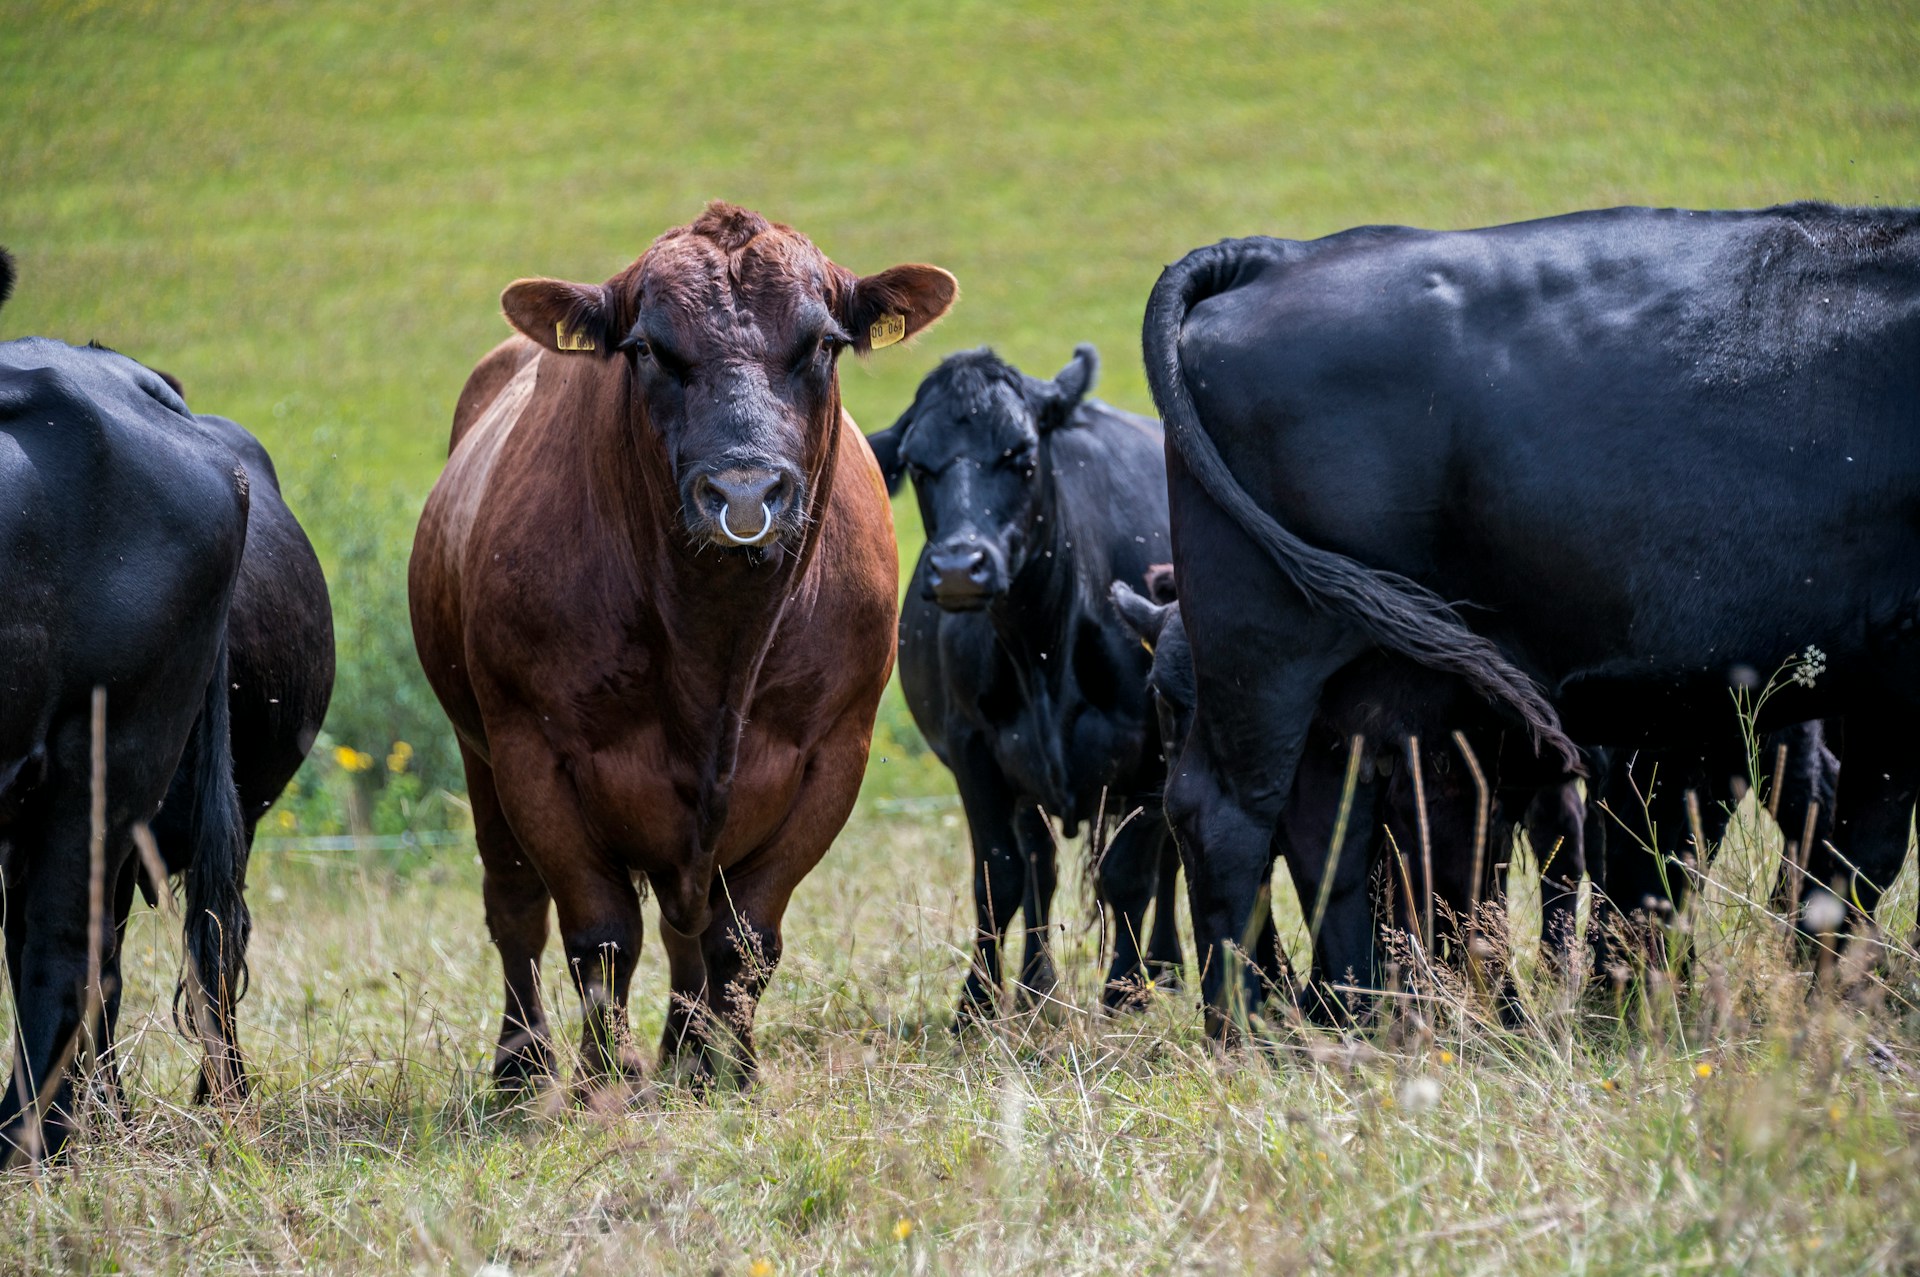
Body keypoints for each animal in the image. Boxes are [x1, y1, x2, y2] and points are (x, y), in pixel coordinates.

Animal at [409, 203, 955, 1091]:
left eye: (822, 344)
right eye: (647, 350)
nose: (744, 491)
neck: (717, 642)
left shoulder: (833, 753)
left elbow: (744, 936)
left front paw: (733, 1069)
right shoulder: (534, 754)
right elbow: (598, 935)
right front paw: (605, 1075)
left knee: (685, 924)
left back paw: (687, 1050)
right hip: (478, 750)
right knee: (516, 906)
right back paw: (523, 1063)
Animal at [864, 346, 1184, 1018]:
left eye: (1024, 457)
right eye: (919, 467)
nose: (960, 567)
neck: (1041, 646)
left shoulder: (1155, 748)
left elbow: (1130, 874)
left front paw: (1124, 992)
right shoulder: (975, 749)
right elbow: (1003, 873)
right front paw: (980, 1003)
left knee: (1168, 862)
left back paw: (1164, 971)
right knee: (1042, 865)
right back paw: (1040, 986)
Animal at [1143, 203, 1920, 1034]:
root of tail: (1277, 255)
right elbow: (1856, 852)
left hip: (1360, 681)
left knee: (1334, 827)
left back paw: (1358, 1017)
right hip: (1266, 647)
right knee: (1227, 815)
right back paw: (1254, 1032)